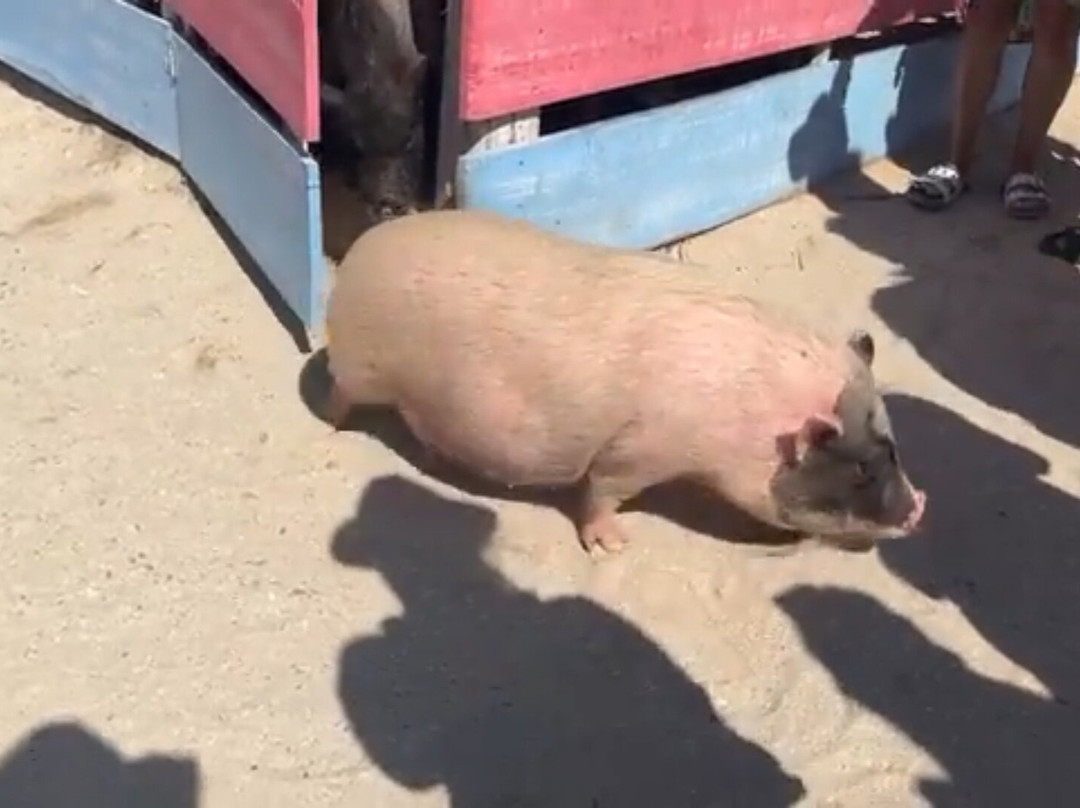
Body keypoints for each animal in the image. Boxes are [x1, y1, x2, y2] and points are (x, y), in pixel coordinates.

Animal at [322, 209, 926, 554]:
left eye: (893, 448)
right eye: (858, 468)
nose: (920, 508)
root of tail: (355, 256)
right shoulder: (639, 449)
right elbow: (603, 490)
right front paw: (614, 548)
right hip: (358, 370)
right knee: (340, 397)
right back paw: (332, 428)